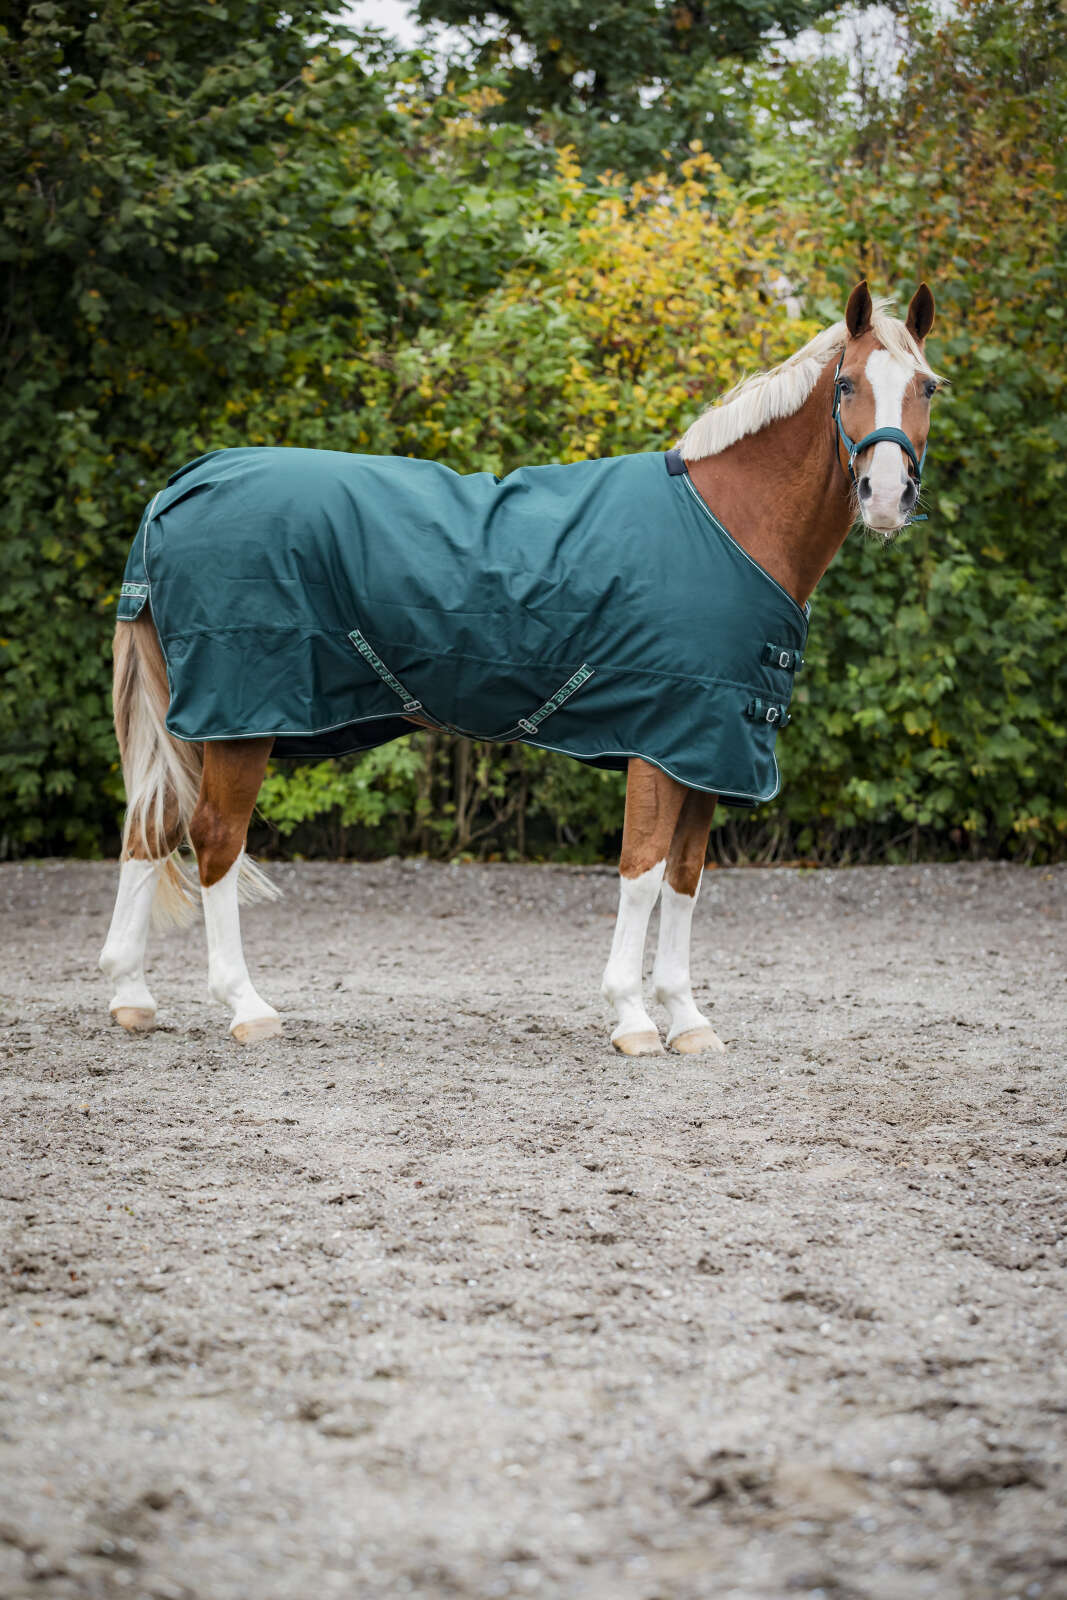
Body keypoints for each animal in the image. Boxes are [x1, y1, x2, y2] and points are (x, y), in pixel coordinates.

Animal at [99, 279, 940, 1051]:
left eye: (927, 386)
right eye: (845, 385)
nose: (885, 496)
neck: (726, 525)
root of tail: (182, 485)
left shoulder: (711, 747)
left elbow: (683, 878)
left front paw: (686, 1019)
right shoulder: (662, 737)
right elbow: (641, 872)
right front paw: (632, 1017)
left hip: (195, 718)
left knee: (149, 825)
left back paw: (131, 995)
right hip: (239, 719)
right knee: (214, 840)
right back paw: (245, 1007)